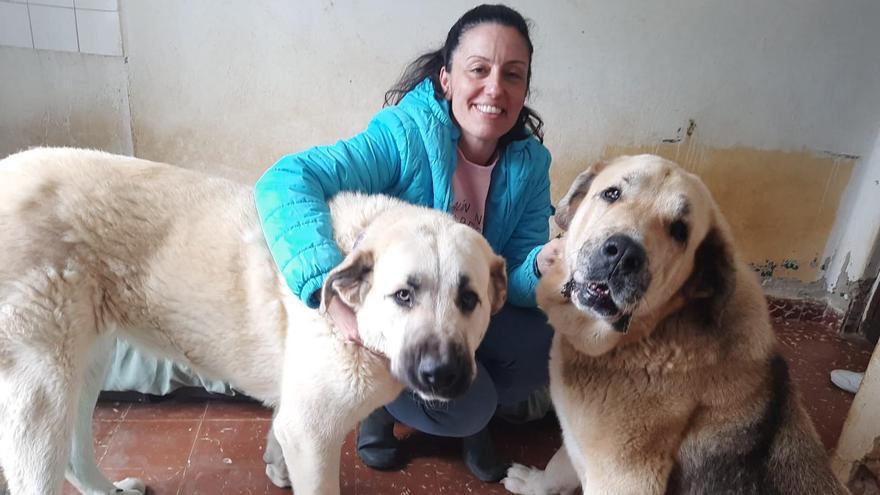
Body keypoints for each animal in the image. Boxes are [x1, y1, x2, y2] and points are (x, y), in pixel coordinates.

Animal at [0, 147, 506, 495]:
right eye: (404, 295)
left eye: (469, 299)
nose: (442, 374)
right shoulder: (314, 434)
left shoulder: (296, 418)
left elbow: (279, 434)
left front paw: (276, 467)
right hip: (43, 390)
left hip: (87, 364)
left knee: (74, 453)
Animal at [502, 155, 844, 495]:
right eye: (611, 194)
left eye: (680, 231)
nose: (623, 253)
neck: (648, 332)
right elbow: (561, 464)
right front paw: (535, 483)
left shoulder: (624, 476)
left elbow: (562, 463)